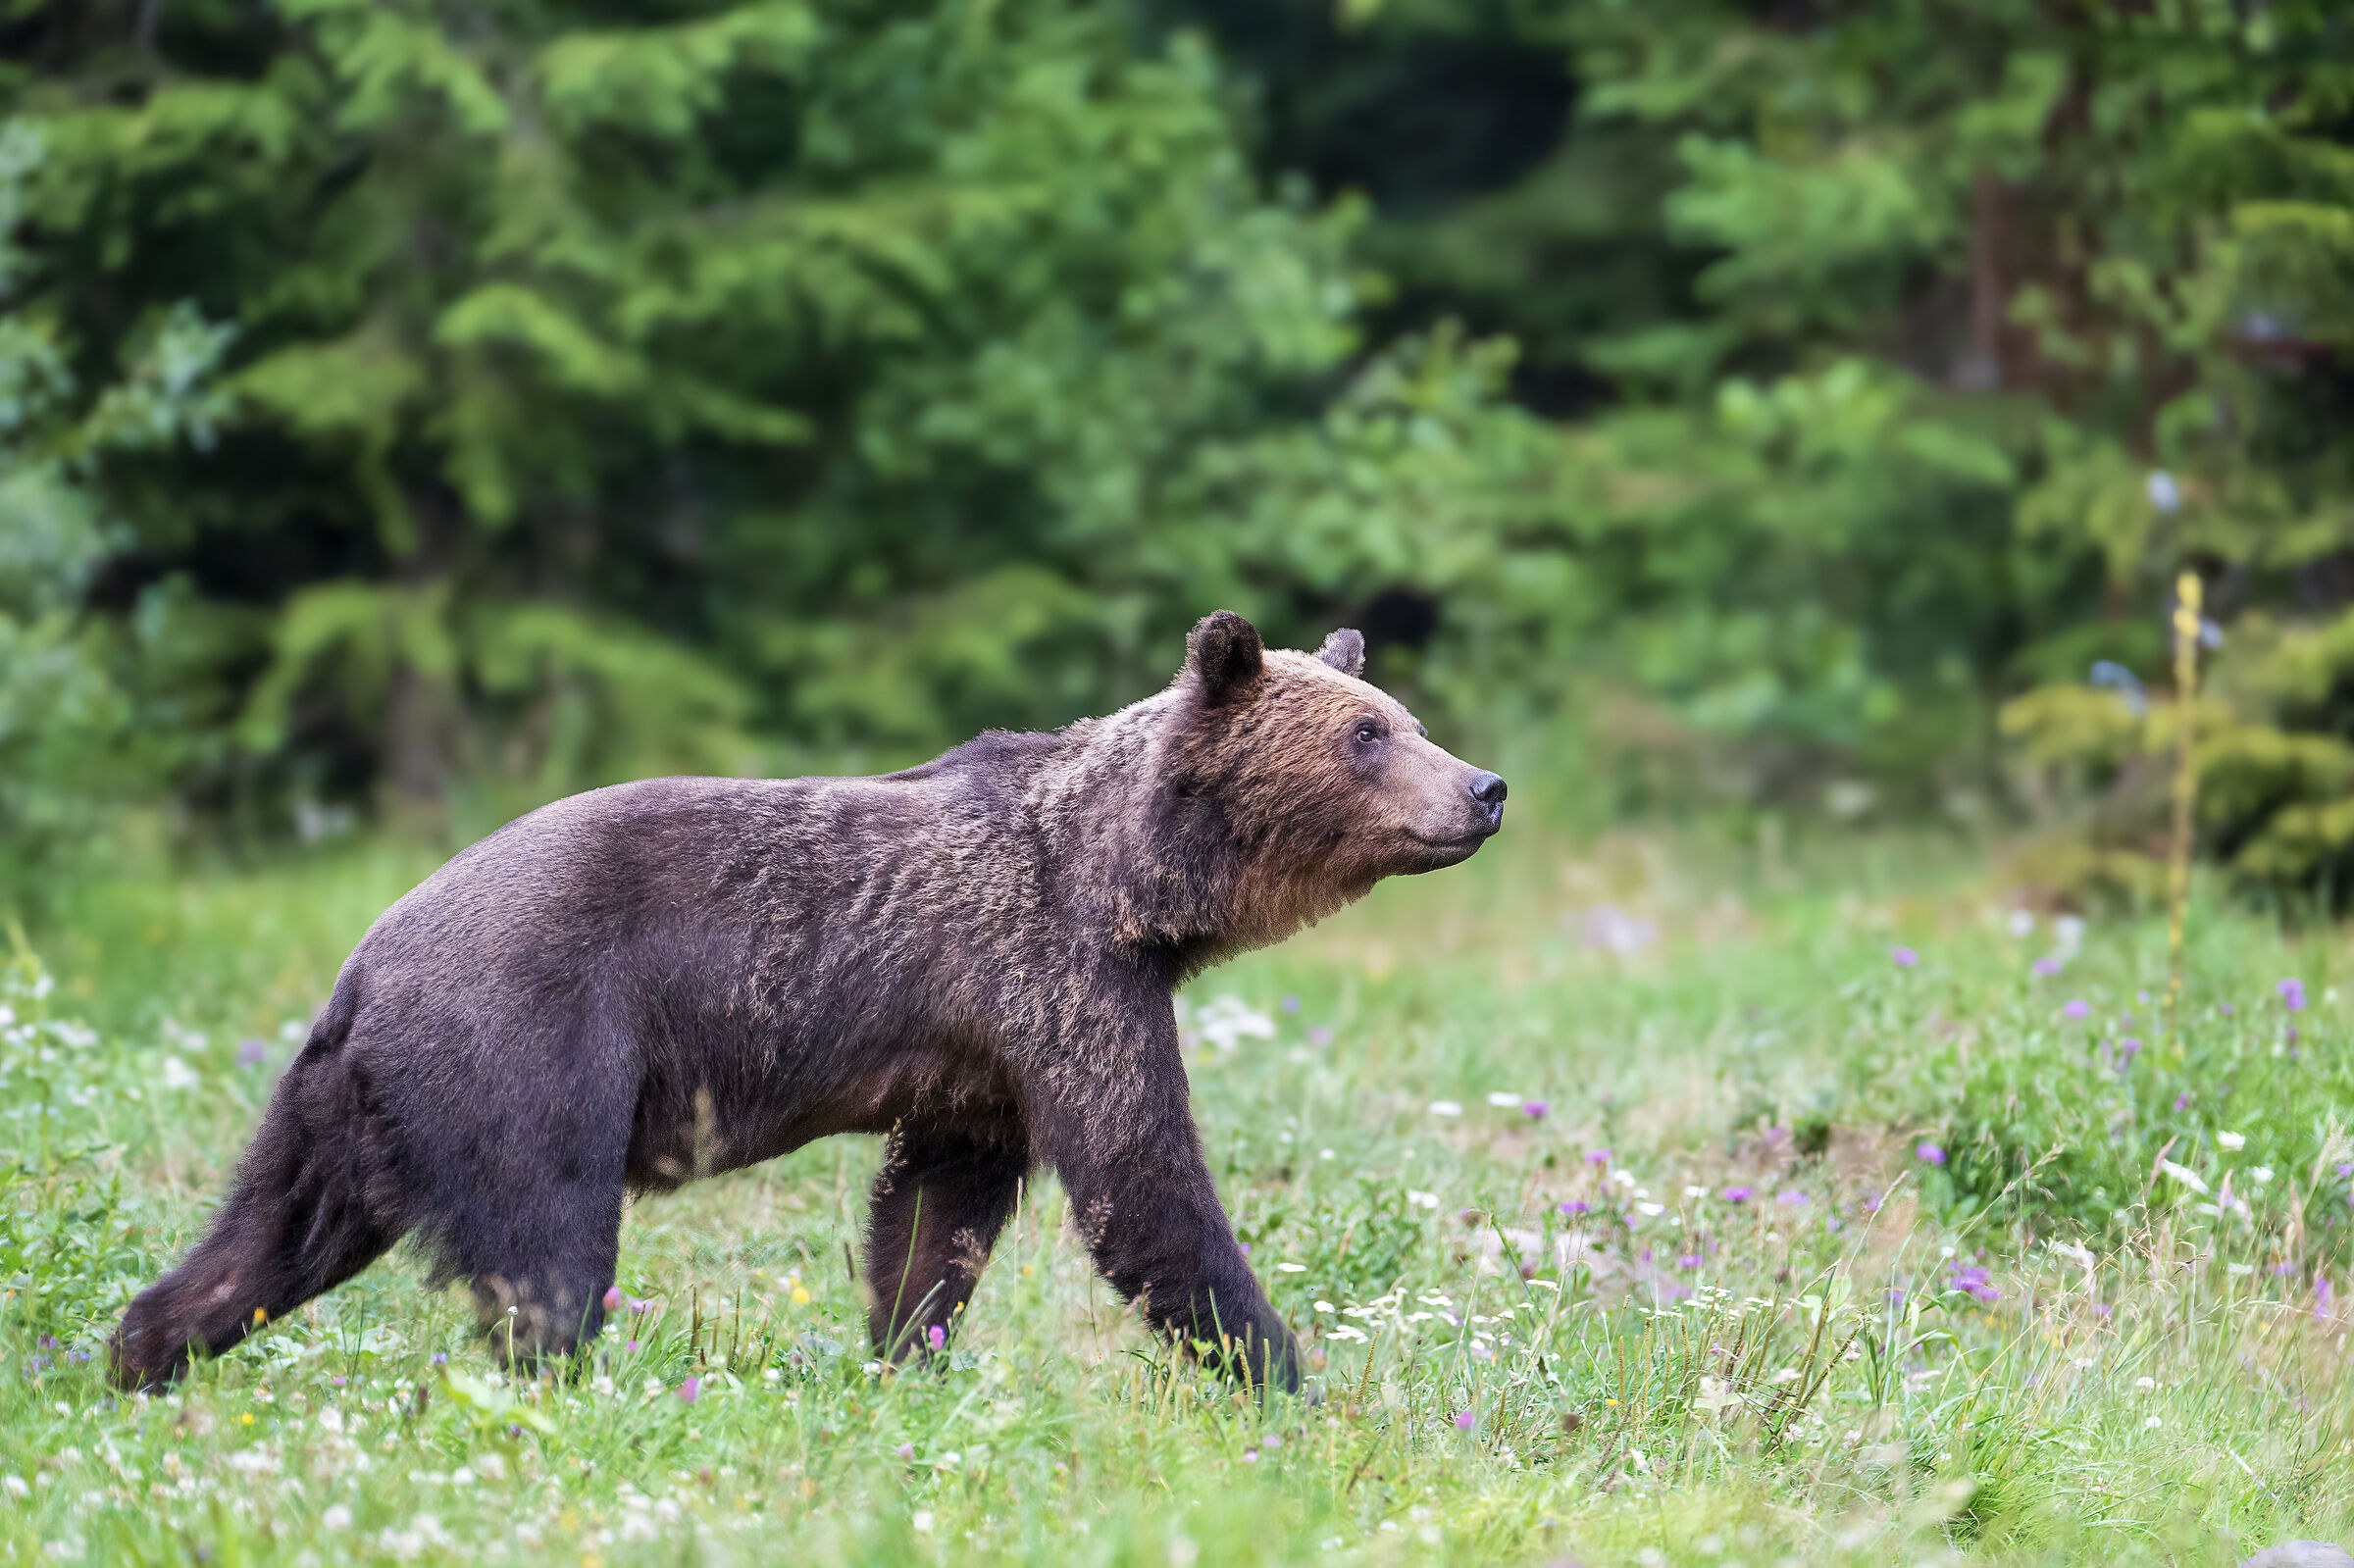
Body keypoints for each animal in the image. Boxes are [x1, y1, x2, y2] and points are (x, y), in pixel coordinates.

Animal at [109, 611, 1506, 1394]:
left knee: (265, 1239)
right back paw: (548, 1394)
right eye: (1368, 735)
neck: (1136, 881)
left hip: (346, 1109)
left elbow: (937, 1213)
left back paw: (134, 1354)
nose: (1484, 786)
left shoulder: (979, 1054)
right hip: (521, 1044)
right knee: (549, 1254)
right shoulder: (1056, 974)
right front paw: (1283, 1373)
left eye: (1403, 715)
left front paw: (902, 1352)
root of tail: (366, 962)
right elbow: (1141, 1182)